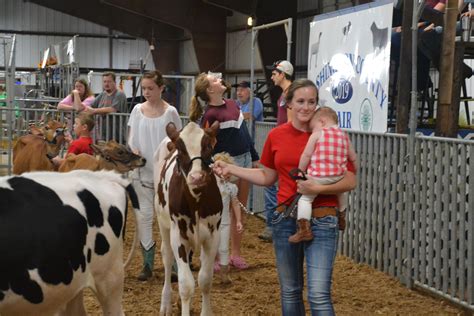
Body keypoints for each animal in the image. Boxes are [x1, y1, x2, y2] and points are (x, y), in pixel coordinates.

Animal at [156, 121, 222, 316]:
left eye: (208, 146)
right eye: (180, 149)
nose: (197, 177)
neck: (196, 202)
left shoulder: (213, 235)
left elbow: (205, 280)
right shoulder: (178, 236)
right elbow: (186, 285)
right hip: (163, 224)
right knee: (167, 256)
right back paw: (166, 303)